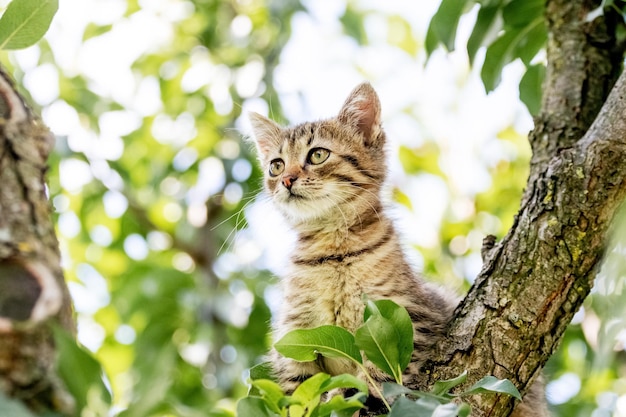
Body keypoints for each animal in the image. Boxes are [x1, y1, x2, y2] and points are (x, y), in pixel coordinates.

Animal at [249, 82, 544, 416]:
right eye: (276, 165)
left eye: (318, 154)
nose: (286, 180)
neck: (333, 252)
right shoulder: (293, 337)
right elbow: (296, 393)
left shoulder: (407, 316)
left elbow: (378, 373)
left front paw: (354, 393)